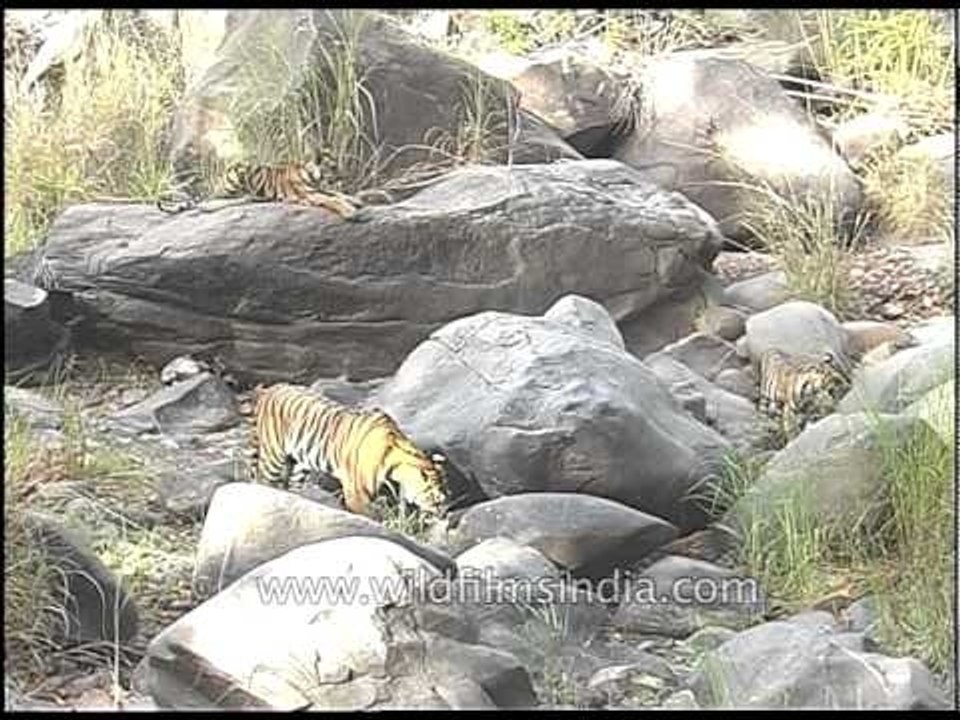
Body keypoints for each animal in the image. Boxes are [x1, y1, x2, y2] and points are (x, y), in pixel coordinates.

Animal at [157, 160, 362, 220]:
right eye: (333, 167)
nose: (345, 175)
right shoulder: (311, 194)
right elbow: (333, 199)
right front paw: (350, 211)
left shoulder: (319, 189)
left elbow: (336, 193)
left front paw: (355, 200)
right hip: (237, 174)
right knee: (213, 198)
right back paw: (210, 205)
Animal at [248, 383, 448, 518]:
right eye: (436, 499)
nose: (443, 515)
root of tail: (271, 388)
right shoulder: (357, 495)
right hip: (273, 457)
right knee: (263, 480)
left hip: (299, 464)